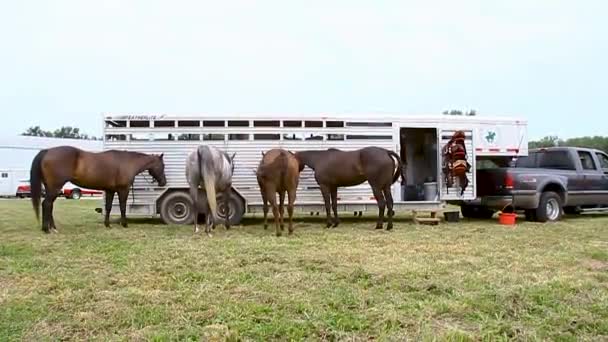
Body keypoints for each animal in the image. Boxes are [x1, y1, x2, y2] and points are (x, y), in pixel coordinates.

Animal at [29, 146, 165, 234]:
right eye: (162, 166)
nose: (163, 182)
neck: (127, 162)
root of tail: (47, 151)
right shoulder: (123, 190)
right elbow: (122, 207)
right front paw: (124, 224)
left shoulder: (110, 190)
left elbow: (109, 207)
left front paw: (107, 225)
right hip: (55, 187)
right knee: (47, 204)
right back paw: (46, 229)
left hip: (51, 188)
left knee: (49, 205)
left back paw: (53, 228)